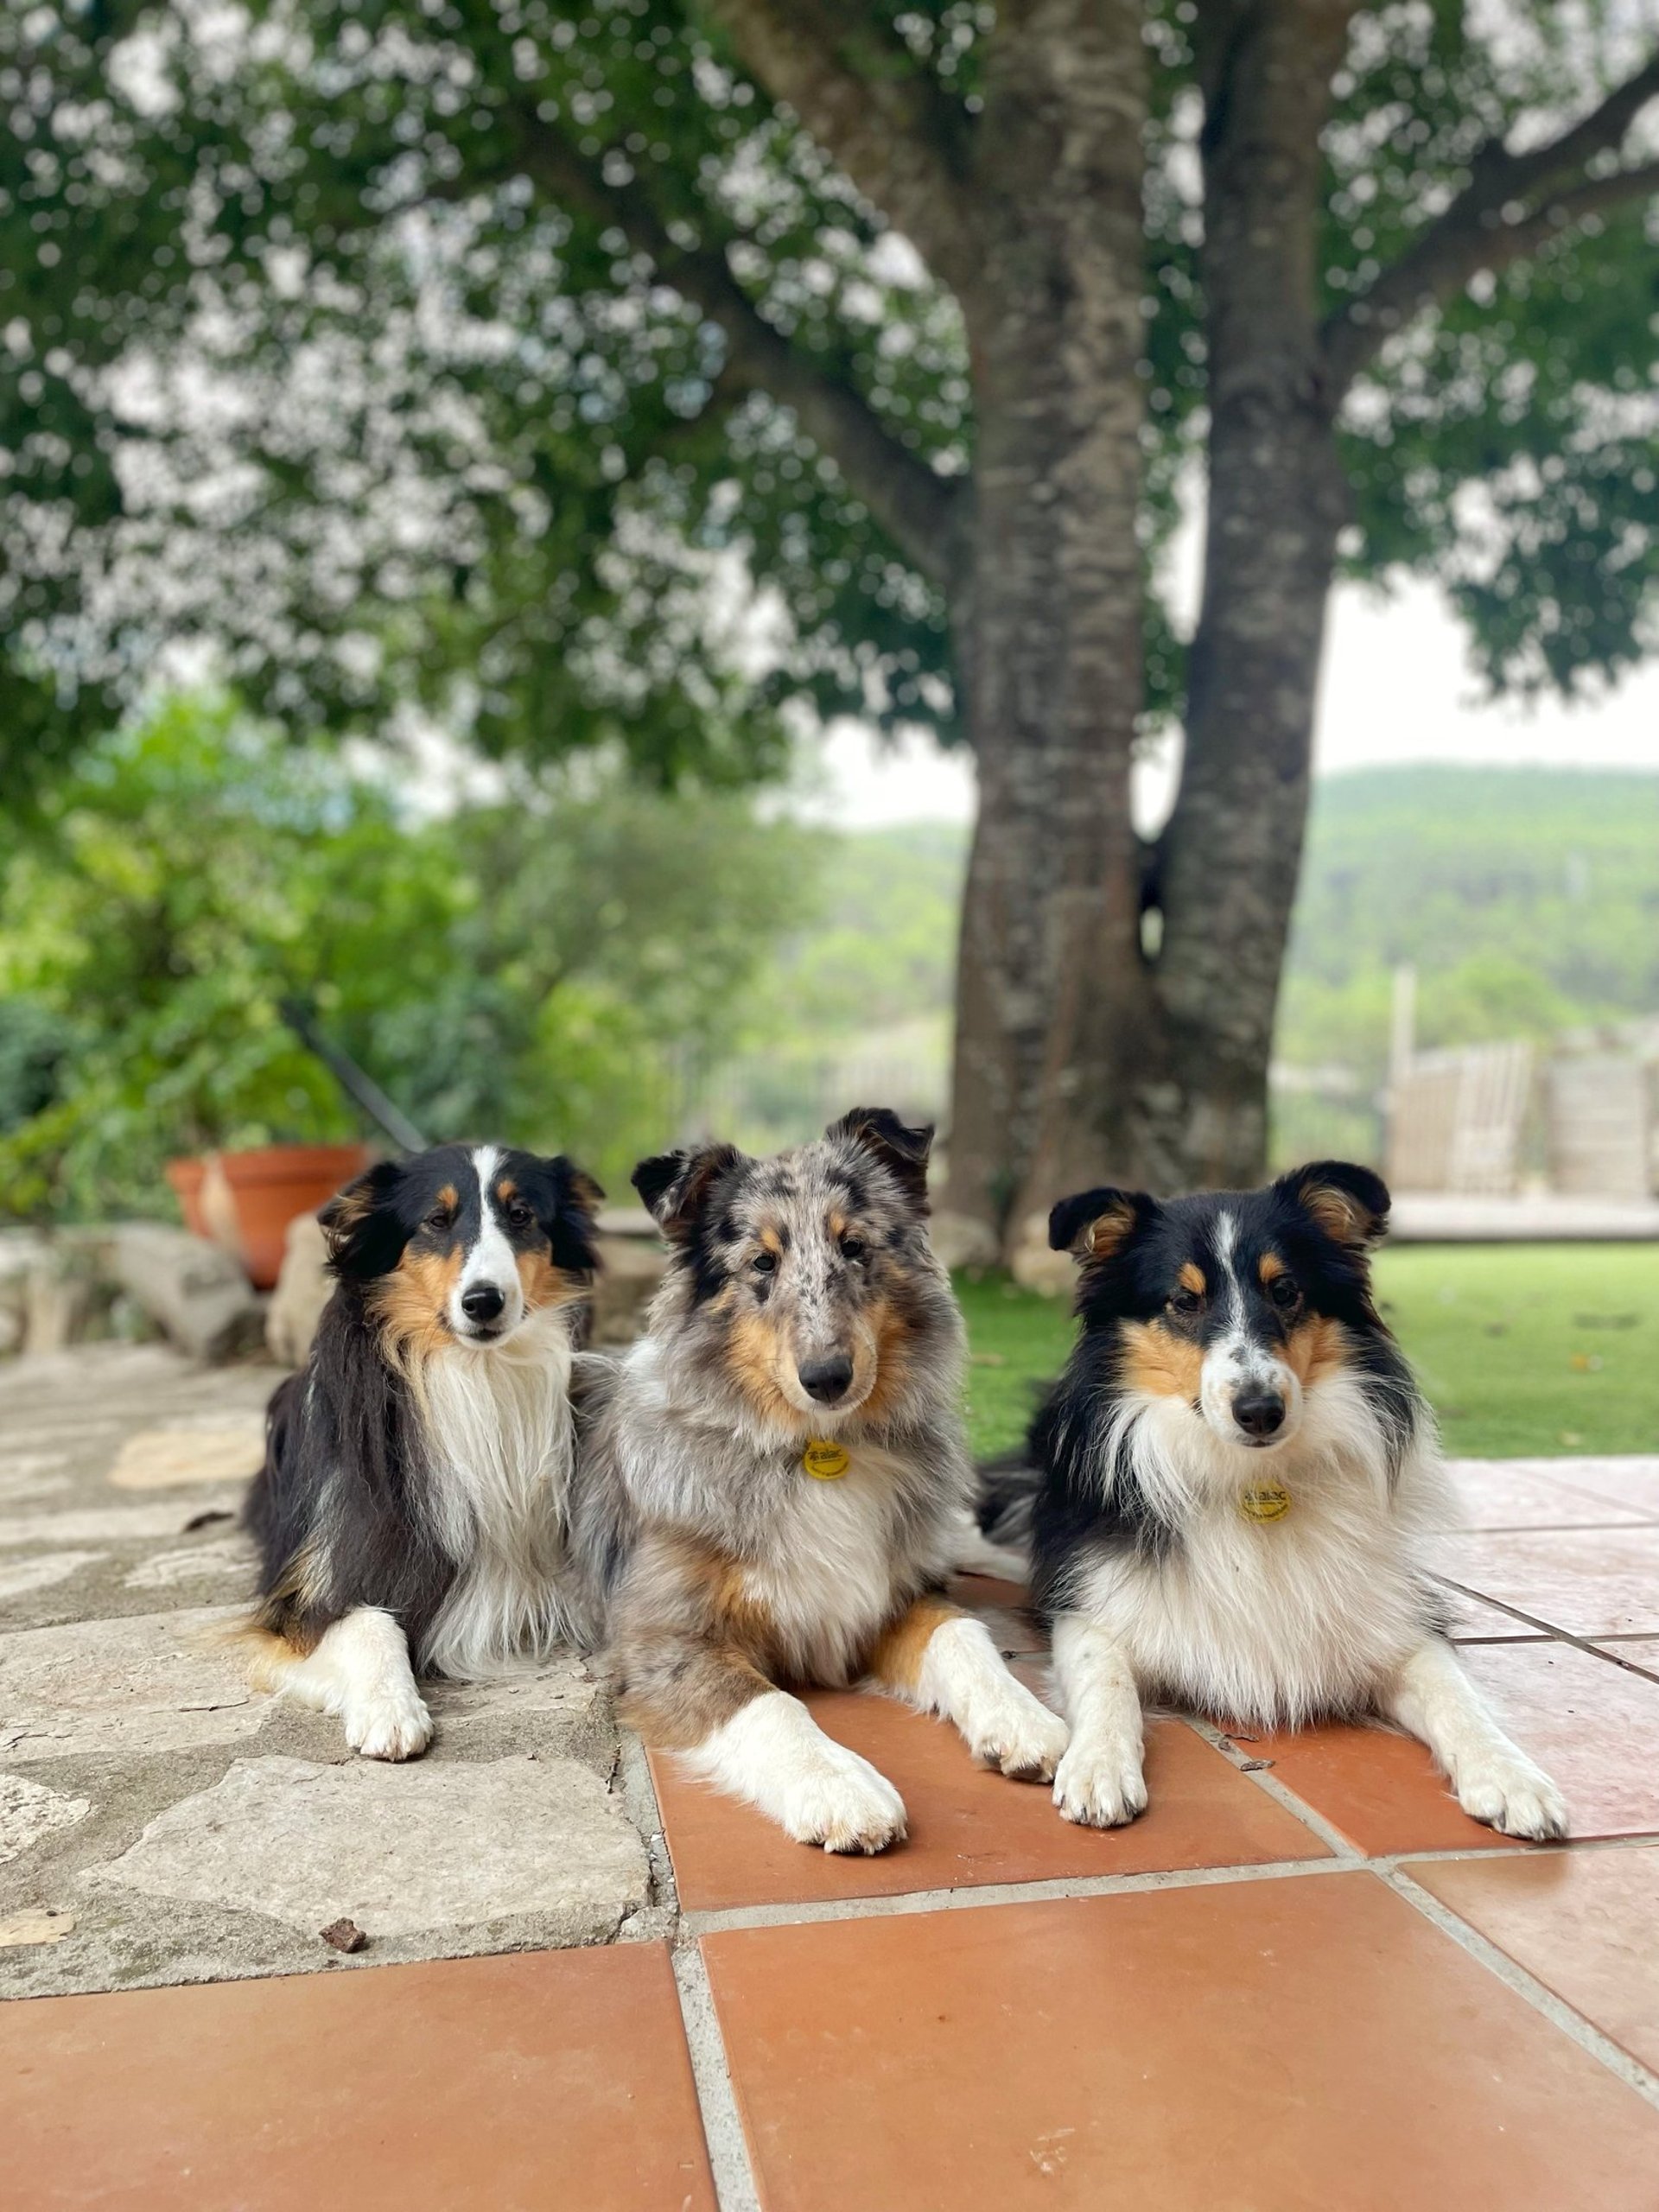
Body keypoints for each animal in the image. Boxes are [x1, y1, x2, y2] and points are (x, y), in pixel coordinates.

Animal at [239, 1150, 606, 1751]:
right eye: (436, 1220)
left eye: (521, 1215)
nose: (483, 1302)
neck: (477, 1374)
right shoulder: (310, 1590)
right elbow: (369, 1619)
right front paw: (389, 1710)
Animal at [566, 1106, 1071, 1849]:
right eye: (762, 1262)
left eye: (854, 1246)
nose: (827, 1377)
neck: (814, 1450)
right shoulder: (664, 1640)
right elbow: (769, 1705)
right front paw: (838, 1785)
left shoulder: (893, 1593)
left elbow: (964, 1634)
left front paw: (1023, 1717)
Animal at [986, 1167, 1574, 1840]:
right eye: (1183, 1301)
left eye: (1286, 1290)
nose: (1260, 1410)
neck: (1253, 1480)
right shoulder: (1089, 1603)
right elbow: (1103, 1678)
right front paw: (1096, 1766)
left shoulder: (1396, 1616)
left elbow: (1456, 1693)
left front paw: (1510, 1775)